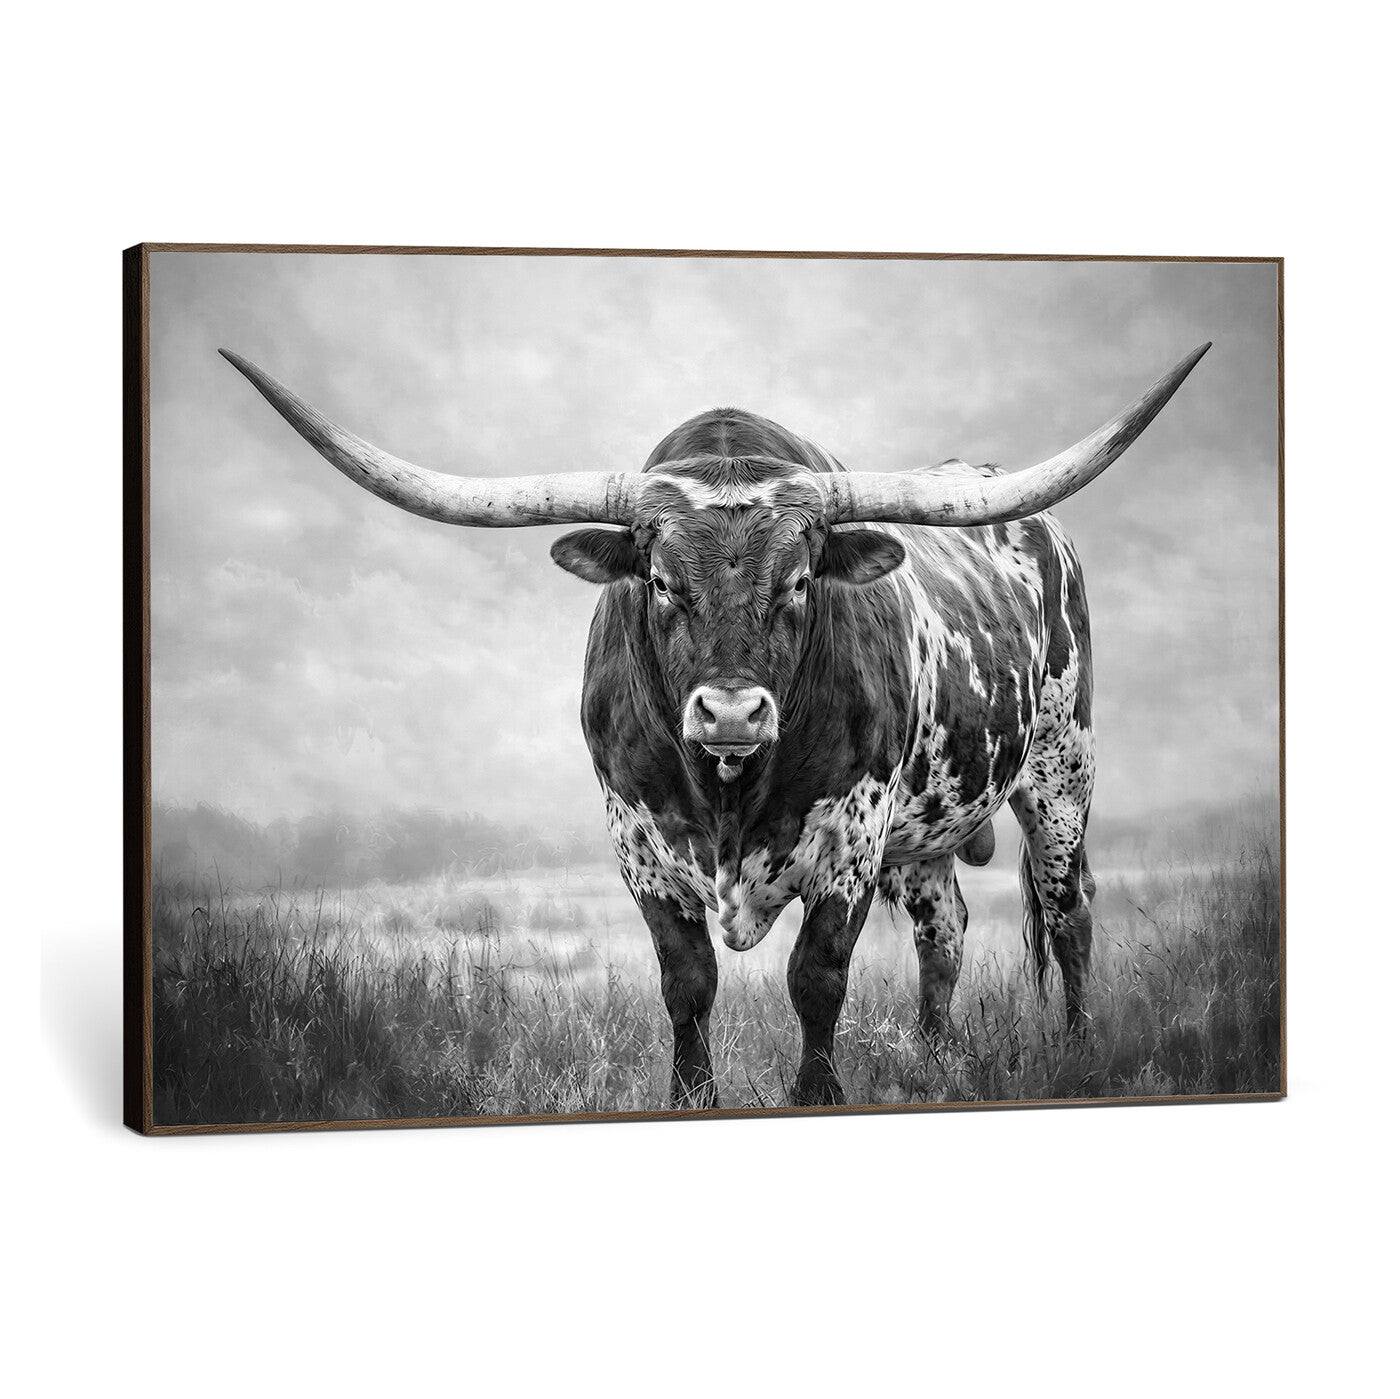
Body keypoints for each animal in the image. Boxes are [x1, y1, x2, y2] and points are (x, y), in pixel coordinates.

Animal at [221, 342, 1209, 1107]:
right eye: (661, 581)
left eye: (801, 581)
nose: (731, 710)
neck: (731, 790)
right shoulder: (639, 847)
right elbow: (687, 985)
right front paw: (690, 1097)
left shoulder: (851, 843)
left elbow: (817, 978)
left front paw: (818, 1094)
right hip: (927, 831)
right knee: (947, 930)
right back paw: (935, 1060)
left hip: (1061, 772)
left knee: (1068, 912)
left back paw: (1075, 1049)